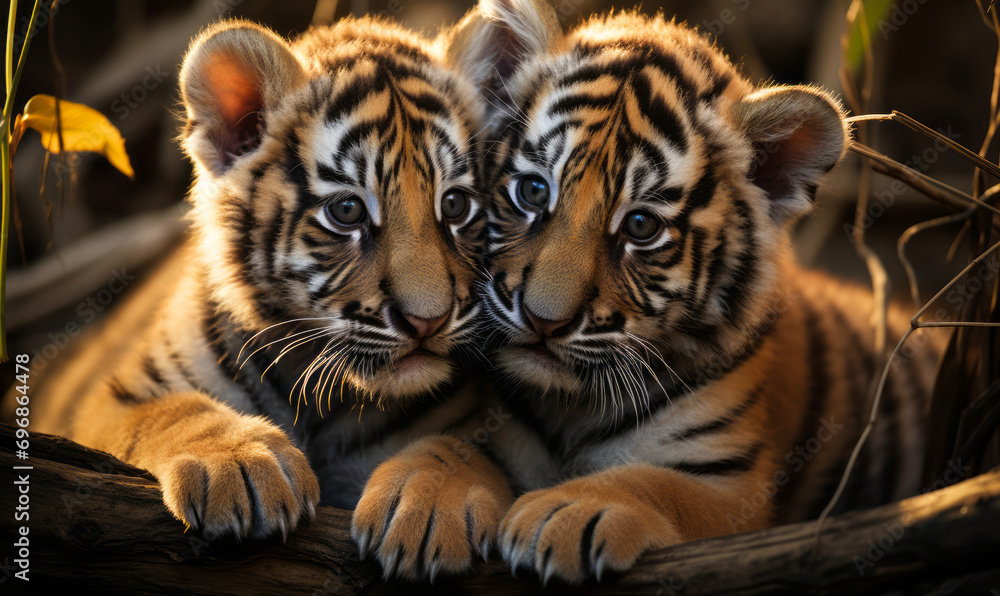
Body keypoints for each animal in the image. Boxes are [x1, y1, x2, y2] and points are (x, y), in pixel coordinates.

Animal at [24, 16, 514, 580]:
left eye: (455, 204)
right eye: (347, 211)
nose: (428, 321)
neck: (325, 399)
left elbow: (461, 447)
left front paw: (429, 505)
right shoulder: (112, 397)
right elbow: (174, 409)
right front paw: (239, 463)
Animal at [405, 0, 941, 584]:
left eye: (641, 226)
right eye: (532, 190)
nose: (544, 320)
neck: (565, 407)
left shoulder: (734, 488)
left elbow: (654, 483)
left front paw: (568, 511)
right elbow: (450, 444)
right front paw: (420, 499)